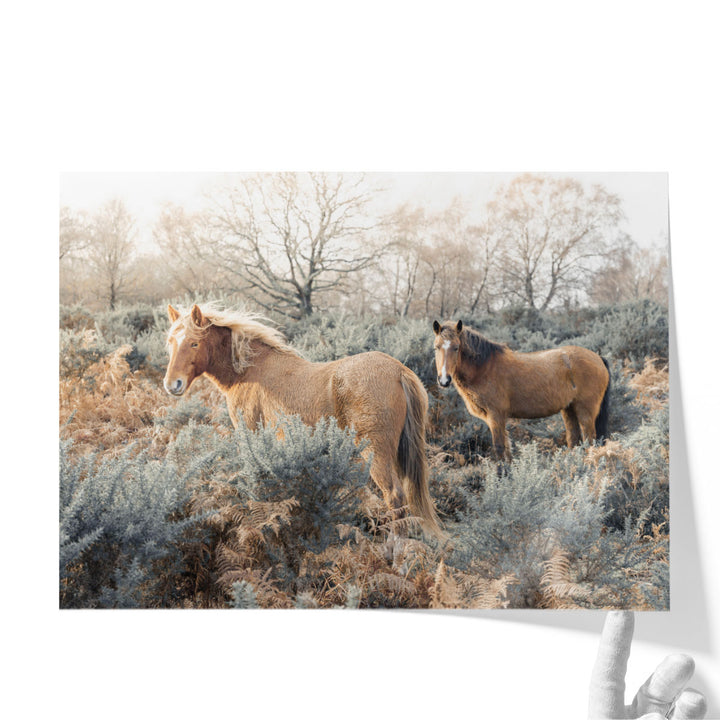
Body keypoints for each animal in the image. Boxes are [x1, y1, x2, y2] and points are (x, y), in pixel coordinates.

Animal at [163, 304, 442, 536]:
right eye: (171, 342)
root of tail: (398, 371)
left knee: (394, 496)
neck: (249, 371)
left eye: (194, 343)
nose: (172, 384)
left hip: (376, 452)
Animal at [432, 319, 611, 462]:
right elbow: (507, 450)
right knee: (574, 442)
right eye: (436, 347)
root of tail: (598, 358)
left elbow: (499, 448)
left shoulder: (496, 416)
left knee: (590, 442)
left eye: (456, 347)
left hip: (585, 412)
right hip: (569, 410)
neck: (484, 368)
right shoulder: (495, 419)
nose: (444, 380)